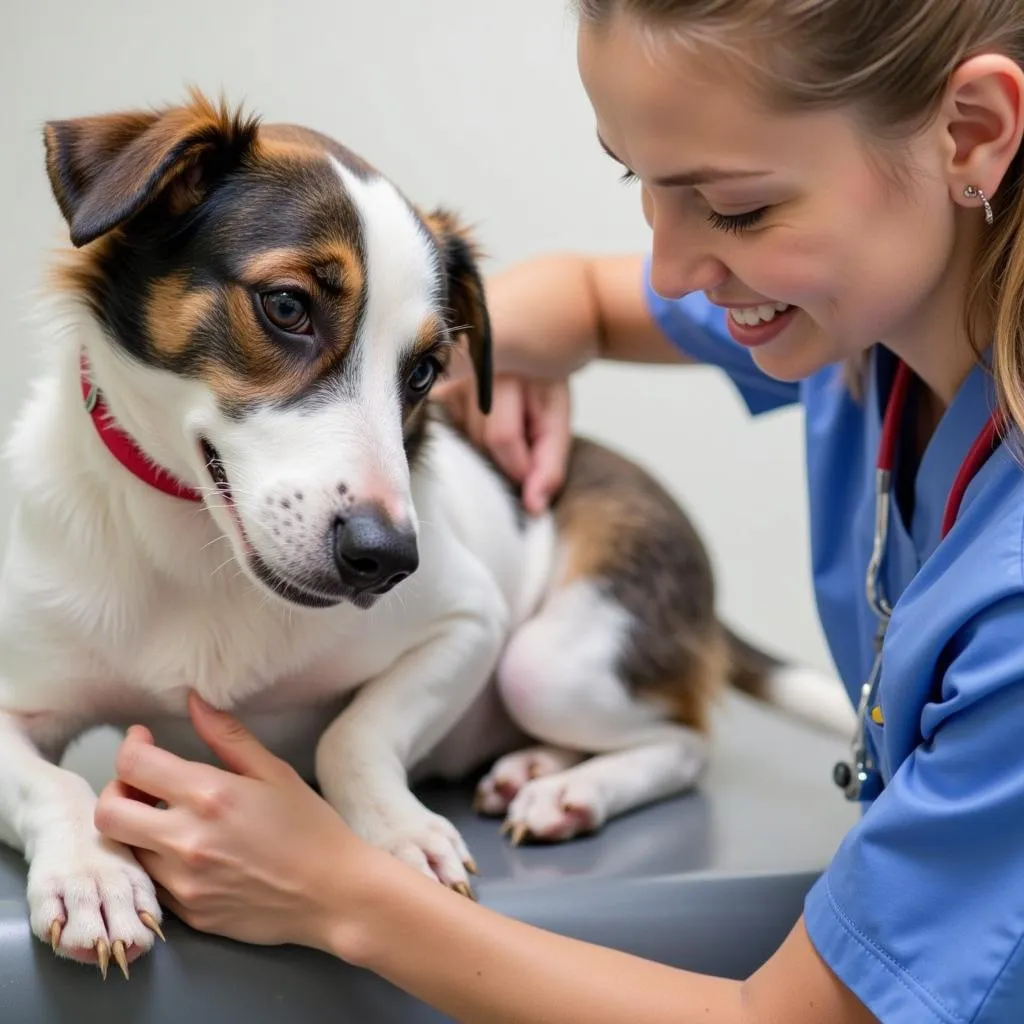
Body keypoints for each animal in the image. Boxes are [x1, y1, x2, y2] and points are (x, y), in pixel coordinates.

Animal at [0, 92, 851, 978]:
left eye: (423, 371)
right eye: (287, 306)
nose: (385, 561)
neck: (198, 553)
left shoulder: (468, 621)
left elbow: (354, 735)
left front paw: (394, 834)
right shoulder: (21, 694)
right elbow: (51, 785)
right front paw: (93, 873)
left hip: (548, 661)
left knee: (685, 740)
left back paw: (570, 789)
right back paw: (536, 767)